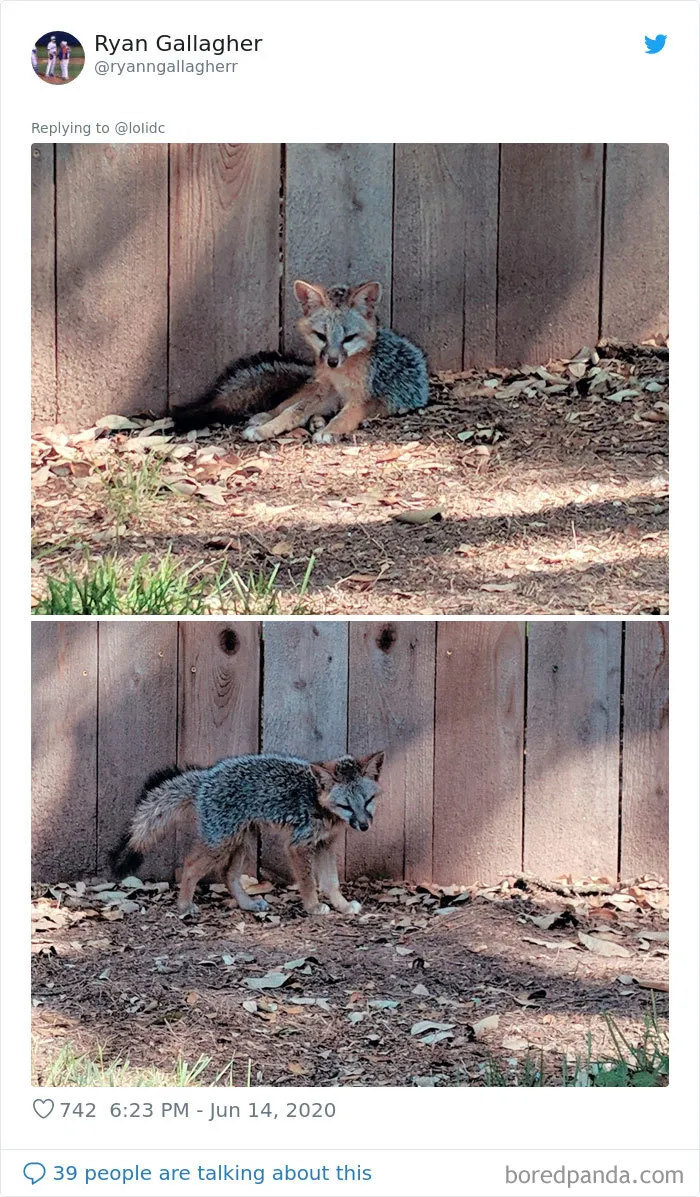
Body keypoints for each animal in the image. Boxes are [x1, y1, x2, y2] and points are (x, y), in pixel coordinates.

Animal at [109, 750, 384, 918]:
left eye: (368, 801)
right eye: (346, 806)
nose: (364, 825)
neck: (316, 799)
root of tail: (206, 776)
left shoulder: (325, 844)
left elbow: (330, 883)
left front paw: (343, 906)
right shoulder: (297, 845)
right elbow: (308, 882)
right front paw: (314, 906)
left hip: (244, 842)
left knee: (228, 875)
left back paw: (248, 904)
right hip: (221, 843)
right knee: (189, 866)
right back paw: (185, 905)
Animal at [170, 280, 429, 443]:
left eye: (349, 338)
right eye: (321, 336)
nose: (331, 361)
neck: (340, 375)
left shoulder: (363, 399)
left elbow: (344, 416)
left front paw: (330, 430)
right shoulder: (325, 390)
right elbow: (292, 411)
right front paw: (267, 428)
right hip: (318, 391)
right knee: (288, 403)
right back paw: (267, 417)